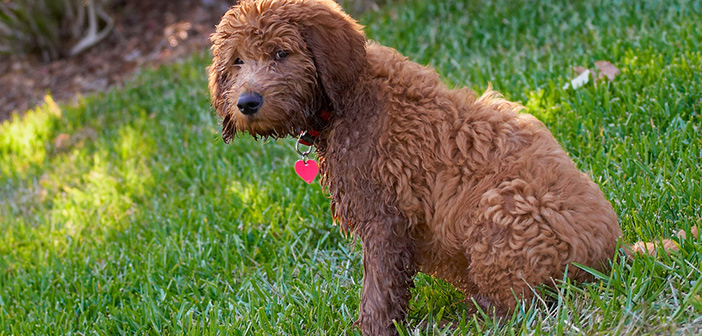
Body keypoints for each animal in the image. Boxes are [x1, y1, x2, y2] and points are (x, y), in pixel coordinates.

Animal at [208, 0, 692, 334]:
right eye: (237, 61)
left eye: (280, 53)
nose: (247, 102)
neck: (349, 98)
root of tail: (613, 257)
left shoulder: (386, 218)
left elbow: (378, 291)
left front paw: (374, 328)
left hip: (502, 206)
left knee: (530, 303)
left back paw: (476, 315)